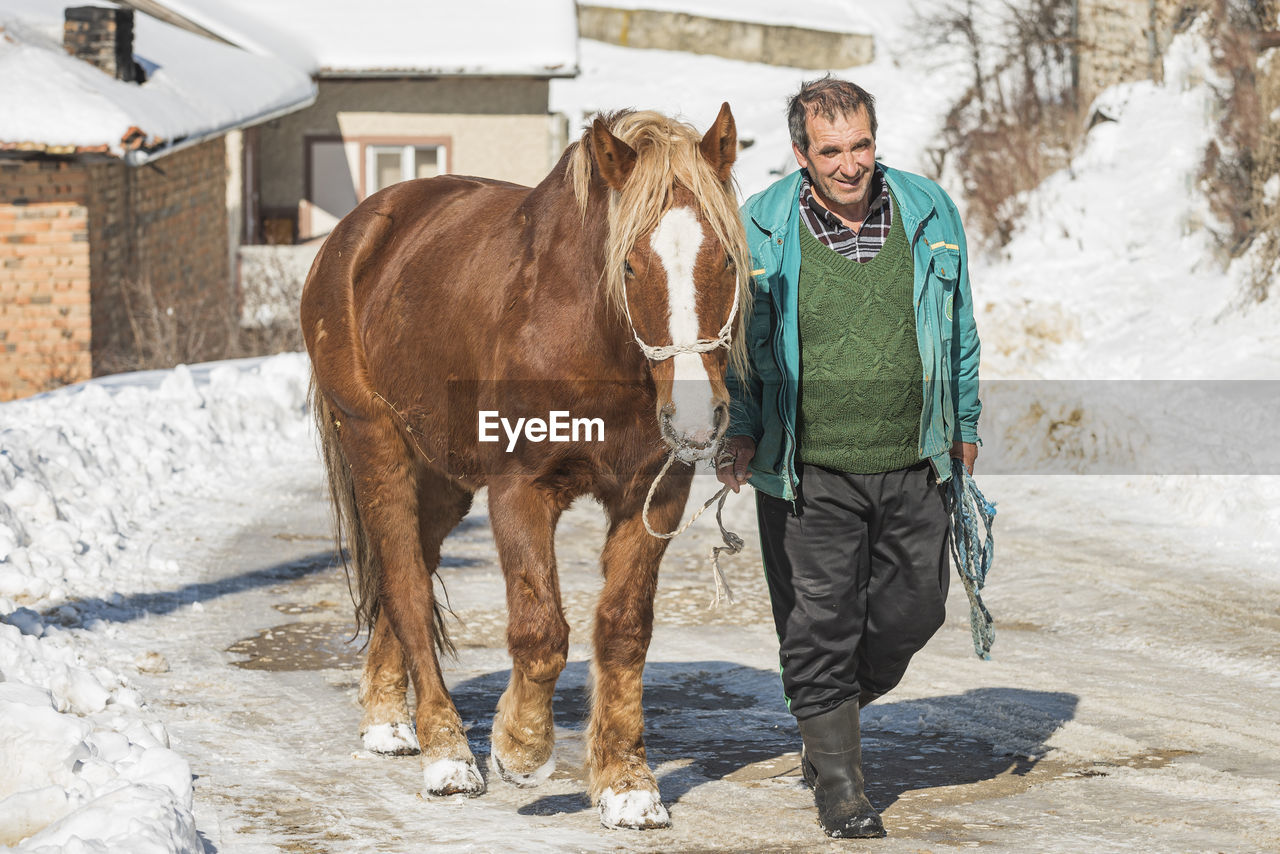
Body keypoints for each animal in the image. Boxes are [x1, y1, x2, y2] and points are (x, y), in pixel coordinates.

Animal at [300, 104, 752, 829]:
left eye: (728, 259)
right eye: (629, 265)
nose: (693, 417)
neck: (589, 337)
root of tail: (358, 233)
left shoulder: (653, 496)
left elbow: (623, 630)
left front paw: (629, 786)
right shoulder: (520, 490)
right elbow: (541, 632)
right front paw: (519, 747)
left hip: (443, 480)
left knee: (409, 574)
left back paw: (388, 721)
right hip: (377, 445)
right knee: (406, 585)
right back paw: (447, 754)